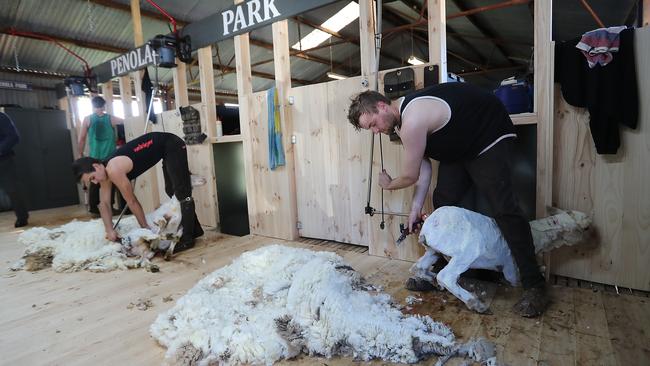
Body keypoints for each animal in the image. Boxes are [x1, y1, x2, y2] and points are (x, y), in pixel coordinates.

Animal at [410, 206, 592, 312]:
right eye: (584, 228)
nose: (591, 225)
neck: (536, 236)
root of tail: (428, 227)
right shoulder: (509, 264)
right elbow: (514, 280)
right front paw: (539, 270)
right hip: (467, 250)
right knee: (446, 276)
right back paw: (475, 303)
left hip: (433, 250)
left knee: (417, 267)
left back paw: (431, 280)